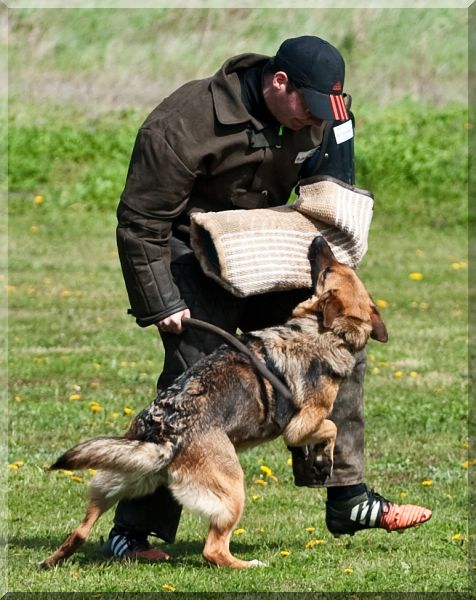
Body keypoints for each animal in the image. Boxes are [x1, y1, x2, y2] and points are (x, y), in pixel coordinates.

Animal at [41, 237, 387, 569]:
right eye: (330, 269)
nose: (318, 239)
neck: (329, 331)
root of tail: (166, 435)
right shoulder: (300, 425)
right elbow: (331, 427)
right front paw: (323, 460)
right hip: (233, 491)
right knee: (213, 550)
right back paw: (248, 565)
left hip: (114, 479)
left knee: (81, 529)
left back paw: (52, 560)